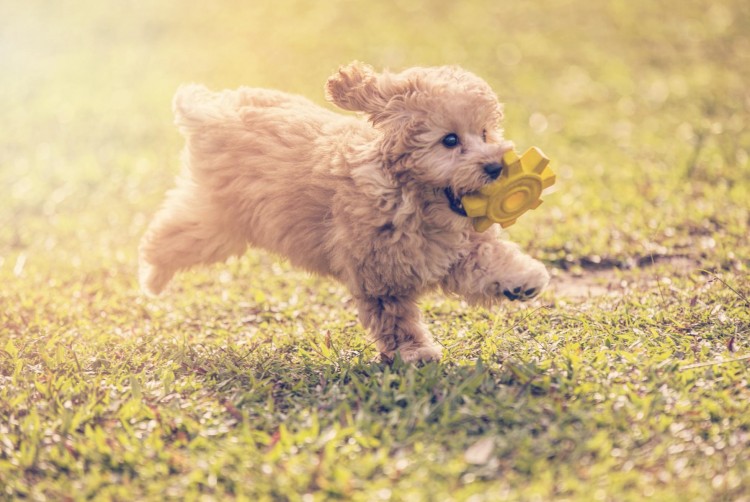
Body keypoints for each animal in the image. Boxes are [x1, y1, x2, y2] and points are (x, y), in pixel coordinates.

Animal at [140, 61, 552, 360]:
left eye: (484, 134)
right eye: (449, 140)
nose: (496, 167)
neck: (411, 199)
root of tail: (210, 110)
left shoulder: (454, 247)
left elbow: (486, 260)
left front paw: (524, 279)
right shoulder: (380, 275)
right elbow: (396, 319)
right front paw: (415, 353)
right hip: (219, 222)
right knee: (168, 236)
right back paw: (151, 277)